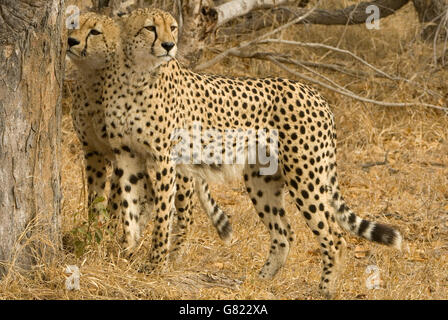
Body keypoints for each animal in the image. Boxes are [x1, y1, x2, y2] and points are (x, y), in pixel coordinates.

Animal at [67, 12, 234, 255]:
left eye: (95, 32)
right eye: (72, 26)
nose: (71, 41)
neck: (94, 79)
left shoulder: (121, 153)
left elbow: (119, 199)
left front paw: (108, 234)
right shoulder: (94, 150)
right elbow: (97, 195)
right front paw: (95, 233)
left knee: (185, 210)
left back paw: (173, 252)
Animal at [102, 8, 402, 298]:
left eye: (173, 27)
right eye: (150, 27)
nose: (169, 45)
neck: (137, 74)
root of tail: (313, 92)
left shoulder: (165, 160)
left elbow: (163, 216)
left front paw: (154, 265)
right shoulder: (127, 155)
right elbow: (129, 207)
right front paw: (124, 252)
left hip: (305, 175)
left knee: (334, 236)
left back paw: (325, 289)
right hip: (262, 179)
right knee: (284, 232)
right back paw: (260, 281)